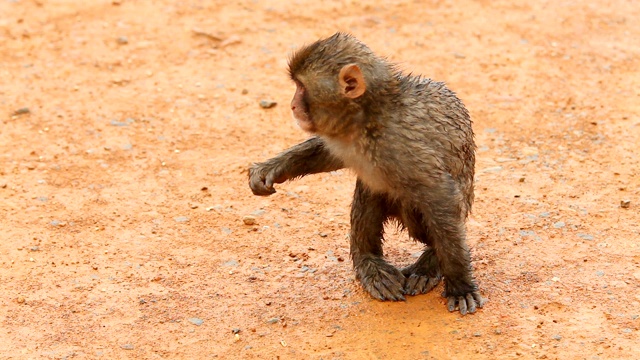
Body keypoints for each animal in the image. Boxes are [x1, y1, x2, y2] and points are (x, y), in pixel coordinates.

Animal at [249, 33, 484, 316]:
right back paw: (368, 262)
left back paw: (431, 263)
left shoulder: (400, 146)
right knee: (370, 190)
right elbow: (327, 155)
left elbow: (440, 196)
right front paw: (271, 168)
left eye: (301, 87)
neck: (367, 117)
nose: (293, 105)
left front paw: (460, 284)